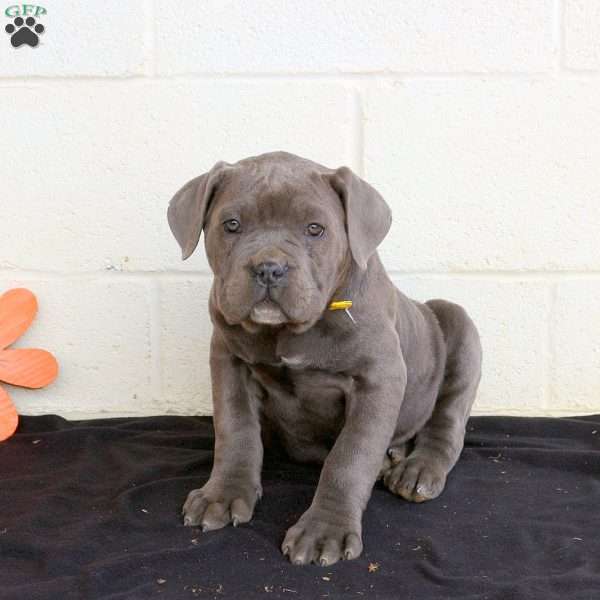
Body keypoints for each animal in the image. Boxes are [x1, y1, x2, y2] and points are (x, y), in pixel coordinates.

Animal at [168, 151, 482, 568]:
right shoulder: (229, 361)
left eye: (315, 229)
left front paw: (323, 531)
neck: (289, 331)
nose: (269, 267)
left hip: (458, 328)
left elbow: (349, 457)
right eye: (231, 225)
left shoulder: (379, 380)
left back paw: (416, 470)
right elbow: (235, 431)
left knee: (446, 423)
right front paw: (222, 495)